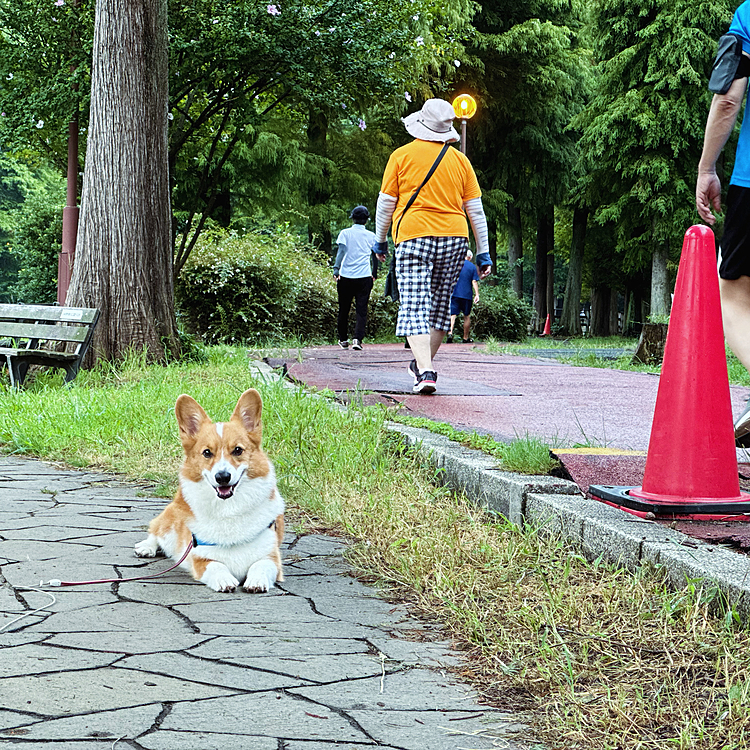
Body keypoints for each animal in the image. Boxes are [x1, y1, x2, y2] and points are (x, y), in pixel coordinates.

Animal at [135, 388, 284, 592]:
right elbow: (216, 565)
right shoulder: (200, 558)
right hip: (170, 521)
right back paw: (146, 547)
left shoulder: (272, 558)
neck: (229, 509)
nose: (222, 477)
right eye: (207, 453)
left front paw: (256, 581)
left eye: (238, 450)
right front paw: (224, 580)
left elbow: (261, 565)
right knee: (156, 530)